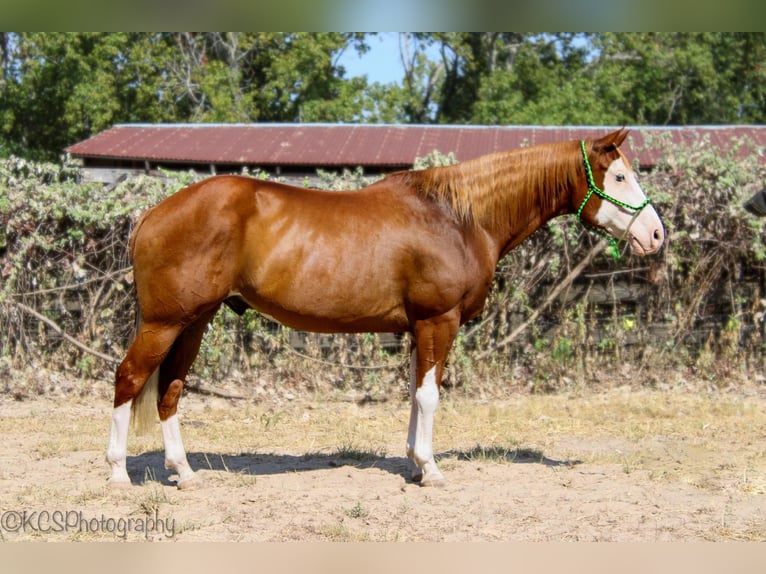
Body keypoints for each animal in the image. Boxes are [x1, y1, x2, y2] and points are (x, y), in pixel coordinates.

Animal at [106, 129, 664, 490]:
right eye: (618, 176)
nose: (656, 234)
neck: (457, 217)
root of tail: (152, 214)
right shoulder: (440, 320)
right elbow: (431, 396)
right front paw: (431, 470)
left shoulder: (419, 327)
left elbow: (416, 396)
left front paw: (415, 463)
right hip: (165, 322)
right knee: (130, 378)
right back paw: (116, 474)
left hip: (194, 322)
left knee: (170, 388)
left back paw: (184, 473)